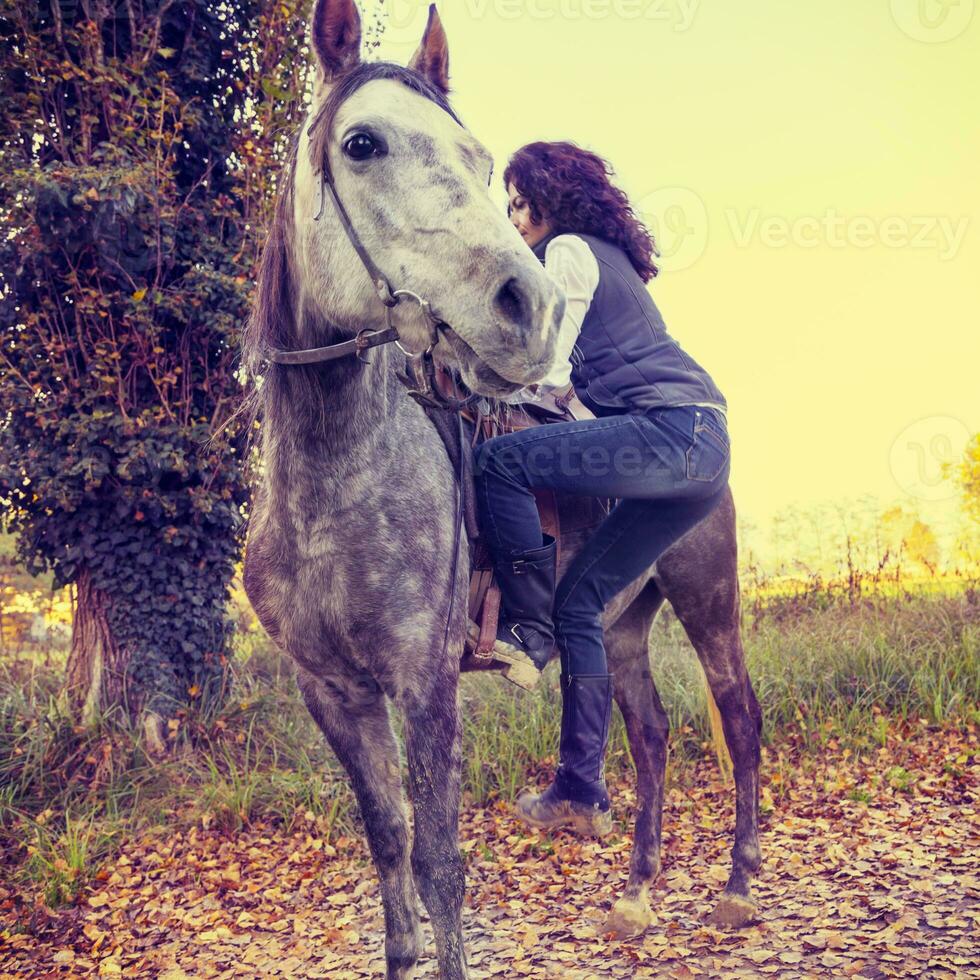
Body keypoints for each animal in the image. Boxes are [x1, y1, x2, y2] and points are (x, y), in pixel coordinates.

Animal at [241, 3, 760, 976]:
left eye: (481, 161)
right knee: (651, 736)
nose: (531, 304)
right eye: (362, 143)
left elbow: (440, 865)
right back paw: (636, 898)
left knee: (740, 722)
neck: (335, 483)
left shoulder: (424, 684)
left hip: (708, 599)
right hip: (617, 620)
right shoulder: (332, 690)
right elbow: (388, 843)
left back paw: (740, 887)